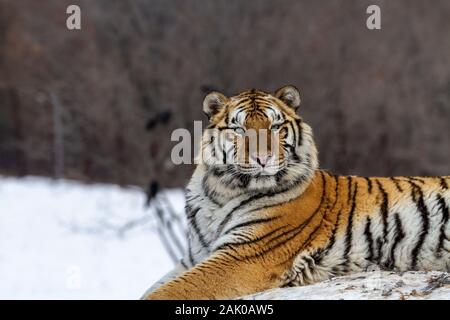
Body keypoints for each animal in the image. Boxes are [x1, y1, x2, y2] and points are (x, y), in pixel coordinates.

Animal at [143, 85, 450, 300]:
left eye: (276, 126)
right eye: (239, 129)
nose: (263, 158)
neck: (219, 194)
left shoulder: (244, 254)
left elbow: (168, 291)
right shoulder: (195, 255)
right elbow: (153, 287)